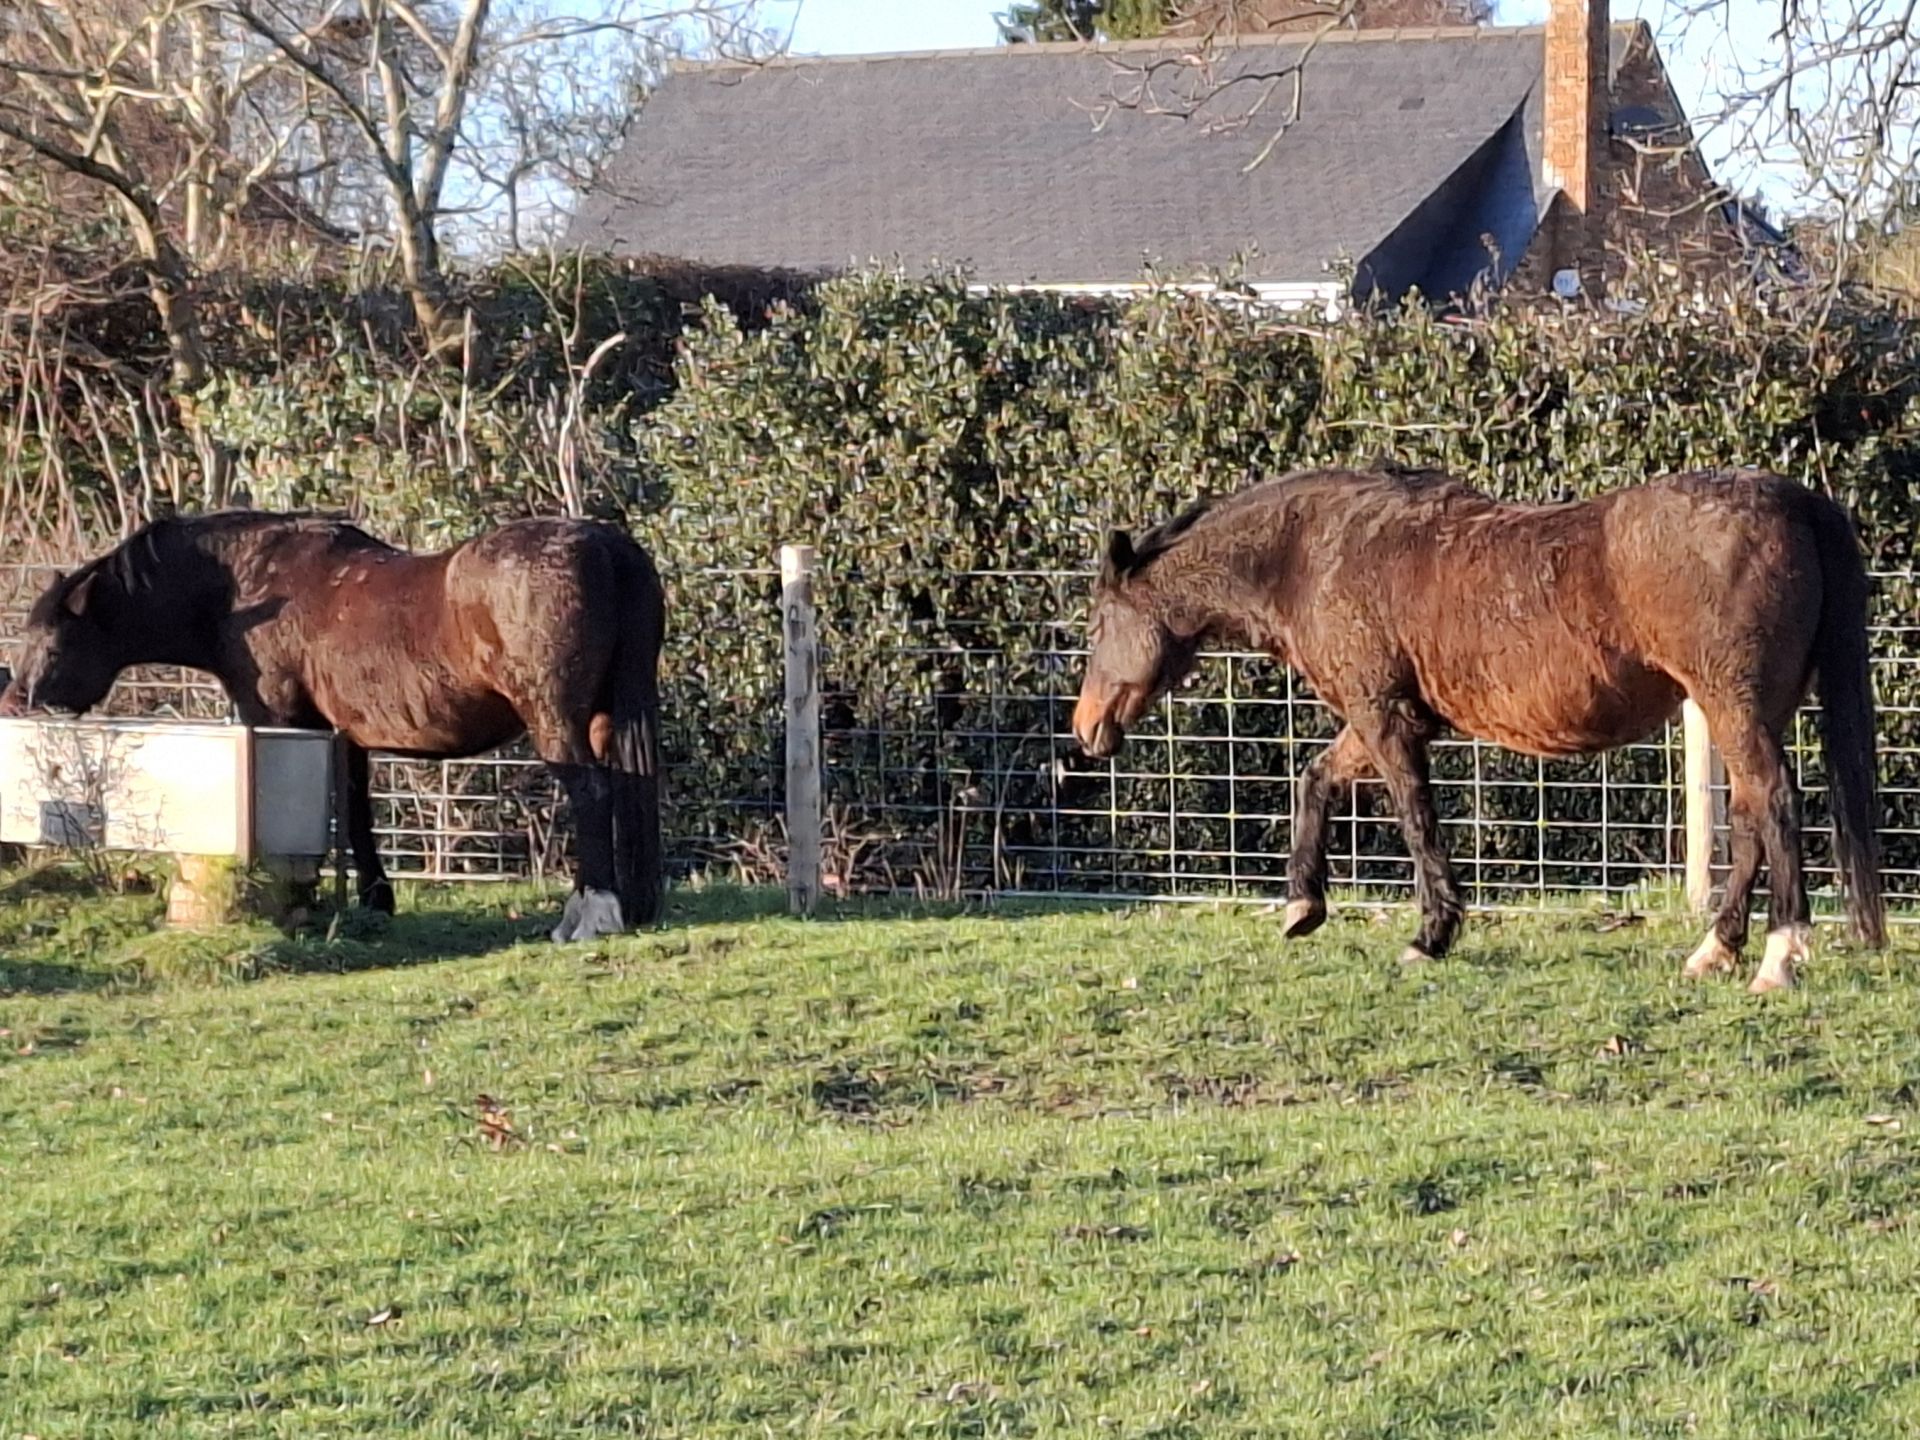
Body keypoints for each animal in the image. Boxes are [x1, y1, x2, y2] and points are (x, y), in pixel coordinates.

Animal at [0, 510, 666, 942]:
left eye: (50, 642)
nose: (14, 701)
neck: (246, 587)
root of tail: (607, 546)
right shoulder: (345, 735)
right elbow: (355, 811)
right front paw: (375, 902)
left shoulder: (280, 722)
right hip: (608, 717)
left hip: (556, 719)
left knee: (591, 792)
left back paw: (589, 916)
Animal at [1071, 465, 1886, 993]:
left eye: (1098, 624)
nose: (1085, 728)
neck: (1313, 553)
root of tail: (1796, 500)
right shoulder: (1381, 719)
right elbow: (1315, 780)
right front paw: (1304, 907)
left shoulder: (1384, 718)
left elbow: (1416, 820)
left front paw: (1430, 936)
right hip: (1744, 711)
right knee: (1750, 819)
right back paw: (1715, 951)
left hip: (1734, 706)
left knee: (1774, 804)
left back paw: (1777, 957)